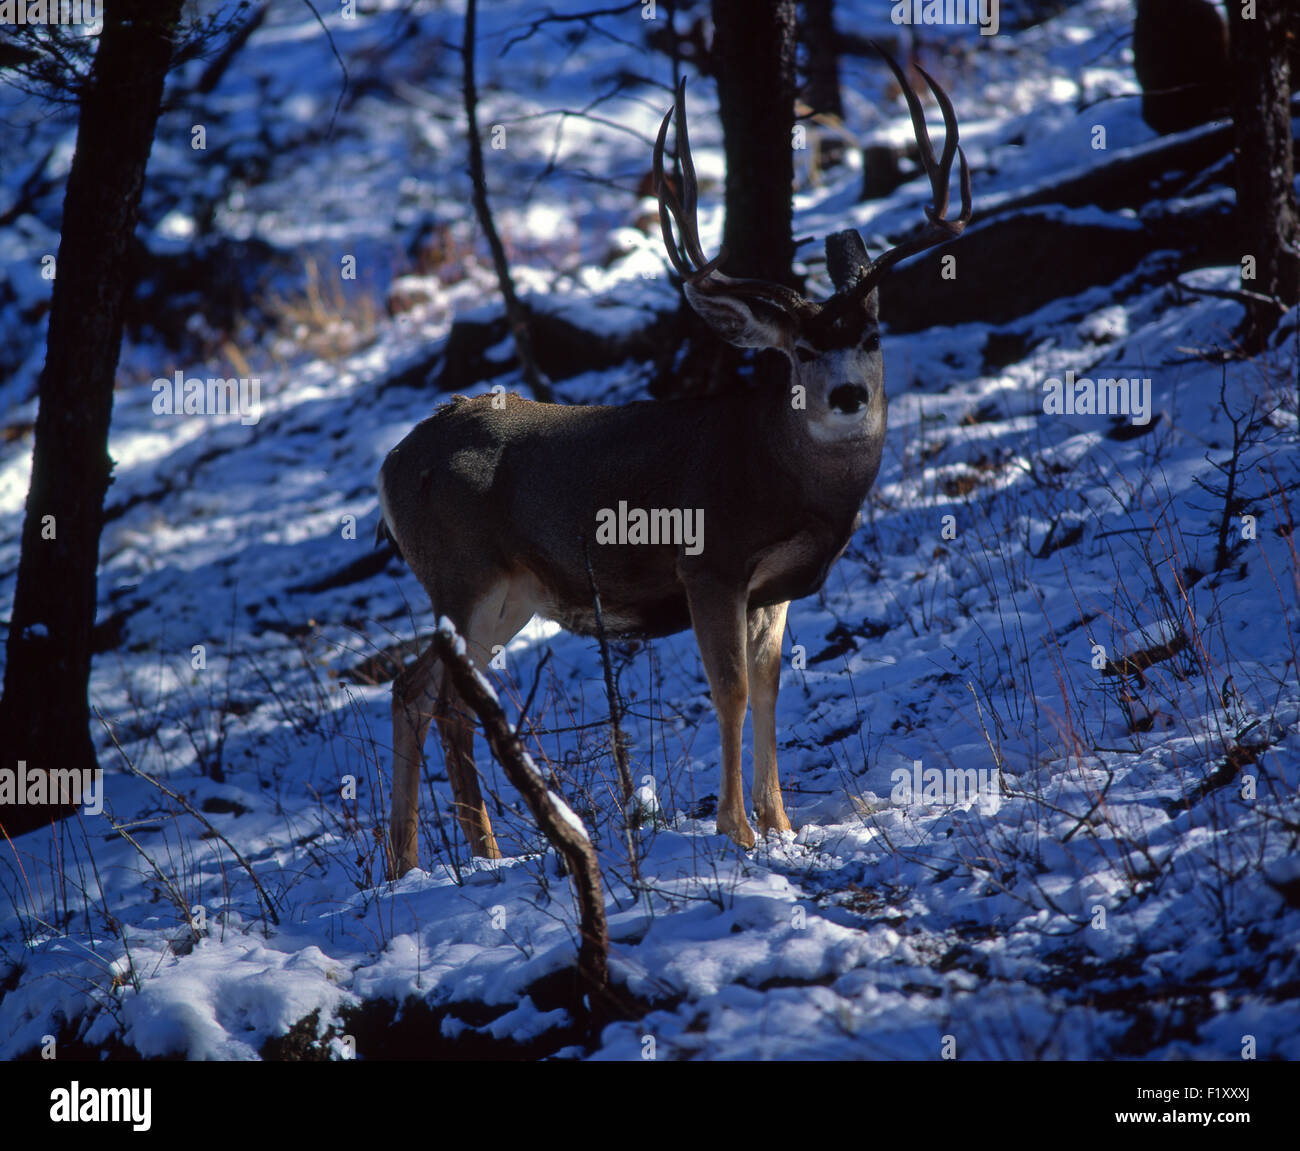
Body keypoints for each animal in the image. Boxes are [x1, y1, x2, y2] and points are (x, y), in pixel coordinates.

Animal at [377, 50, 970, 878]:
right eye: (801, 349)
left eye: (872, 337)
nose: (848, 395)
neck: (783, 478)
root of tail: (391, 466)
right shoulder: (708, 563)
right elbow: (729, 689)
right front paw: (738, 831)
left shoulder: (770, 588)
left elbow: (769, 686)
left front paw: (782, 824)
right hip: (462, 575)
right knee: (418, 688)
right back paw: (416, 860)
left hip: (508, 595)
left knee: (443, 698)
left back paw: (460, 855)